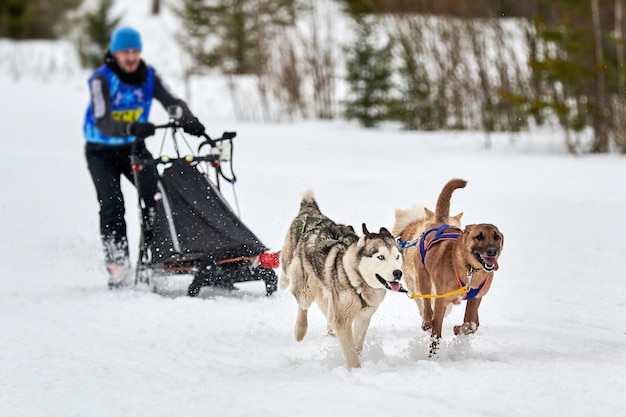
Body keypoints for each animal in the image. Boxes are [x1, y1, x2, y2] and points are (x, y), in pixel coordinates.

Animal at [410, 178, 502, 354]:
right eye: (479, 237)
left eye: (497, 237)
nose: (492, 251)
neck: (469, 269)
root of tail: (440, 223)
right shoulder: (441, 300)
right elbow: (436, 332)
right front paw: (433, 353)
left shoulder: (476, 298)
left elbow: (470, 324)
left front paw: (458, 329)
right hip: (424, 279)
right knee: (427, 306)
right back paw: (427, 322)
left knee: (475, 322)